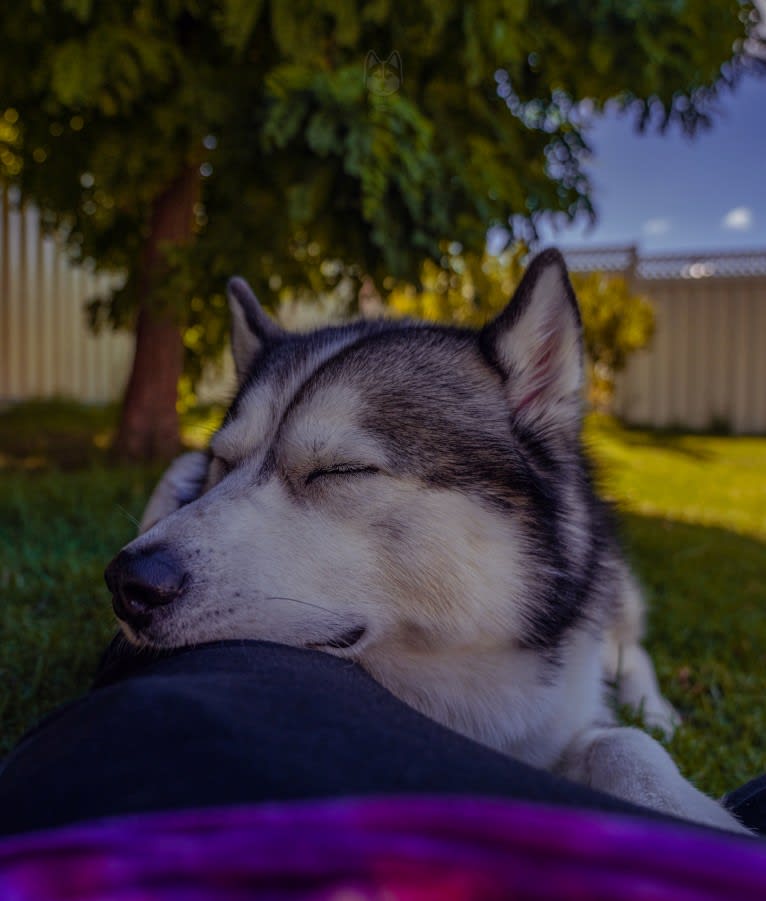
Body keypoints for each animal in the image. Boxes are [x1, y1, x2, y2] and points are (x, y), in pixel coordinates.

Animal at [106, 251, 744, 828]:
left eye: (339, 470)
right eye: (222, 463)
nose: (128, 582)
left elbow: (623, 741)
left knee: (629, 644)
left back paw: (656, 708)